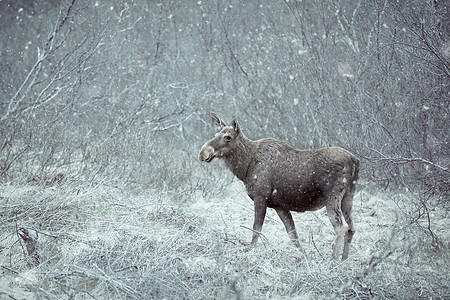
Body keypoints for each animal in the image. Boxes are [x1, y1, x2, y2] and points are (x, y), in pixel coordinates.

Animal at [199, 113, 360, 258]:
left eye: (228, 137)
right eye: (216, 134)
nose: (203, 153)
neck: (245, 168)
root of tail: (355, 161)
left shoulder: (260, 196)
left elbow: (256, 229)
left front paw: (249, 251)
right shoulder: (279, 205)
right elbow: (293, 235)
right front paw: (305, 257)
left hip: (332, 196)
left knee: (340, 227)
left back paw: (333, 259)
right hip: (348, 196)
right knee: (351, 227)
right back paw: (344, 259)